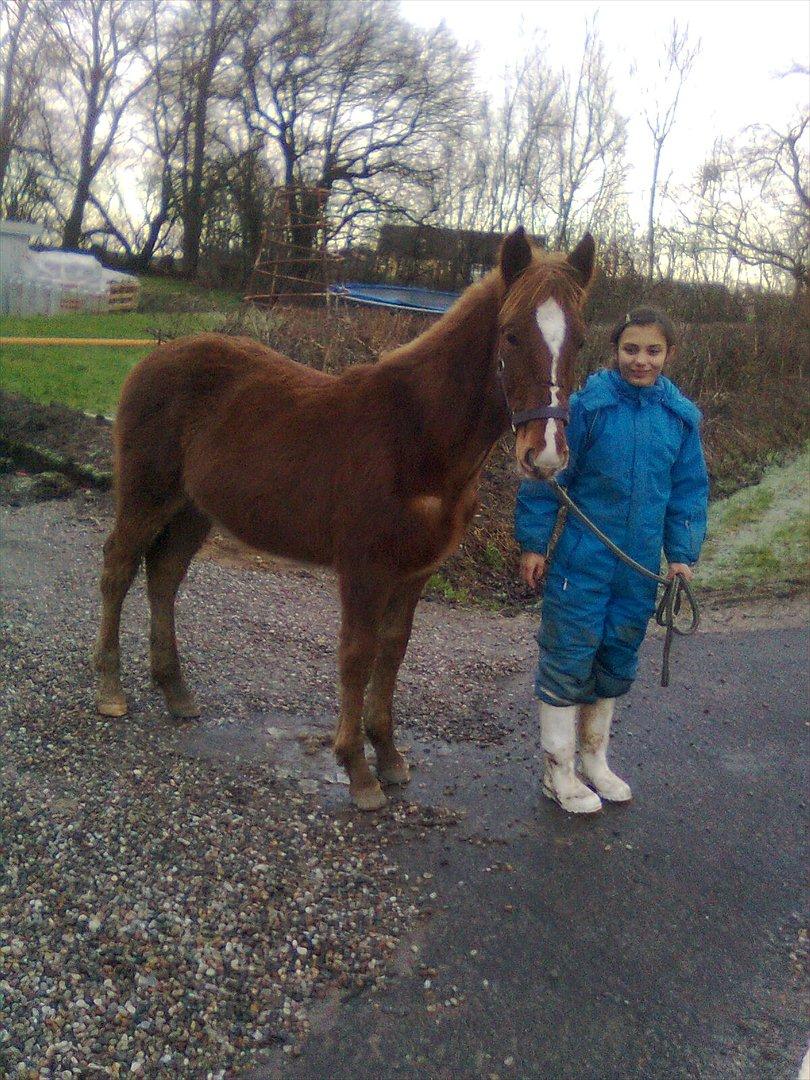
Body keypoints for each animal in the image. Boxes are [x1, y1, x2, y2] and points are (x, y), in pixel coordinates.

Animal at [95, 227, 596, 807]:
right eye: (511, 335)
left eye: (580, 341)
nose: (546, 456)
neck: (416, 436)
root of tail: (153, 358)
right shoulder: (364, 570)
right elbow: (357, 657)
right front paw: (358, 770)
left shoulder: (414, 573)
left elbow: (392, 653)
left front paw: (390, 757)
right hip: (146, 497)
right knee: (119, 569)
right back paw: (110, 689)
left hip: (193, 510)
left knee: (164, 577)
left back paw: (175, 691)